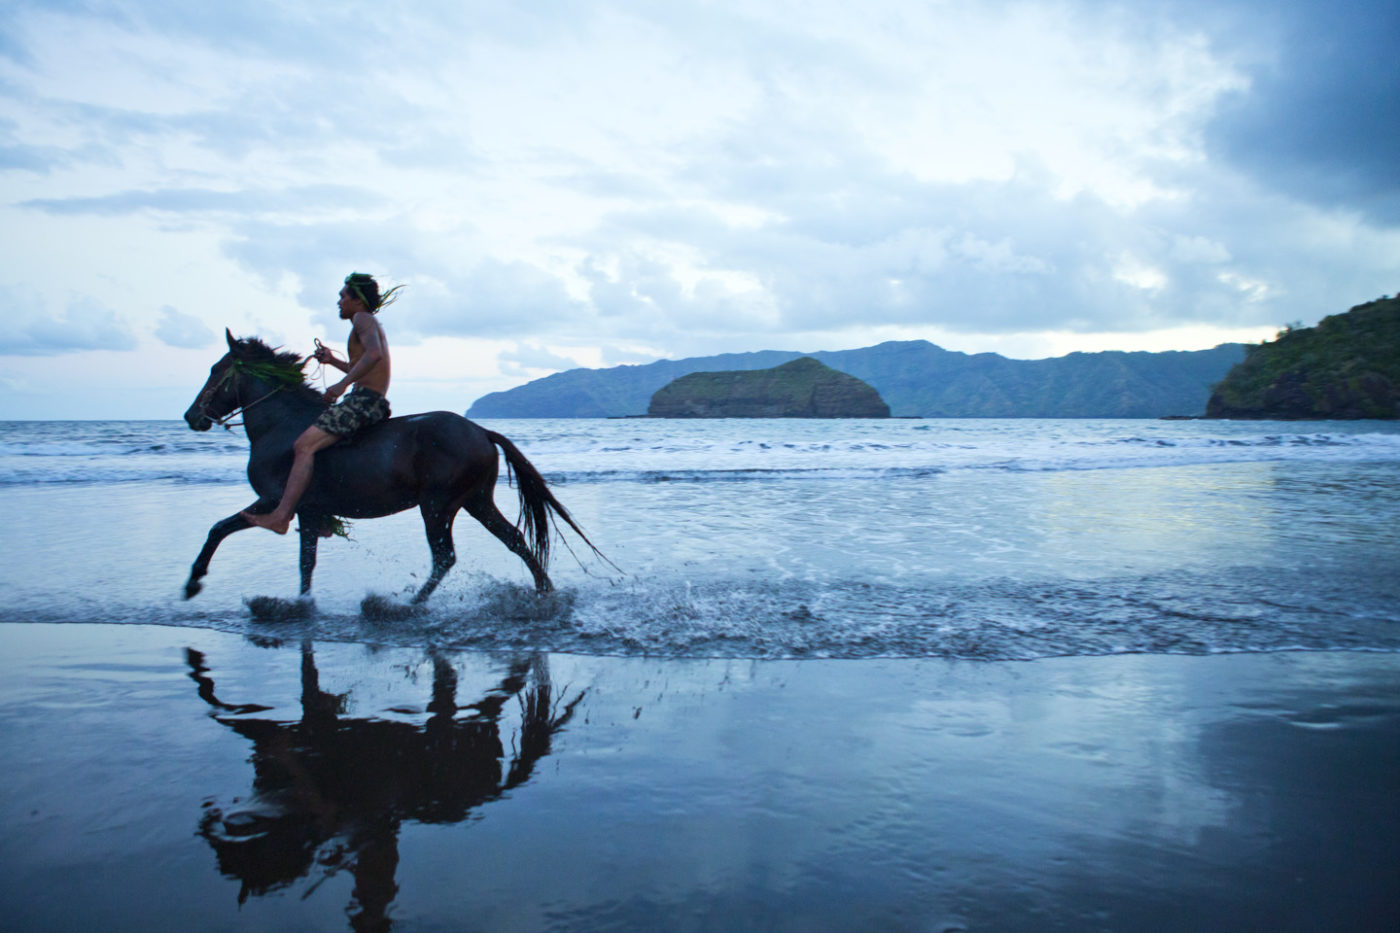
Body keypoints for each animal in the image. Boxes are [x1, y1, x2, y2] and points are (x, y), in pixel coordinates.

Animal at [186, 326, 602, 602]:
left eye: (215, 370)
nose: (191, 416)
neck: (281, 426)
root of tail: (482, 432)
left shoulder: (274, 501)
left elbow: (218, 529)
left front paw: (193, 582)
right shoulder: (308, 510)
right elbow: (306, 564)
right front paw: (303, 604)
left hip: (437, 505)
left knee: (445, 557)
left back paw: (408, 606)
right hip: (475, 500)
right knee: (514, 539)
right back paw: (544, 592)